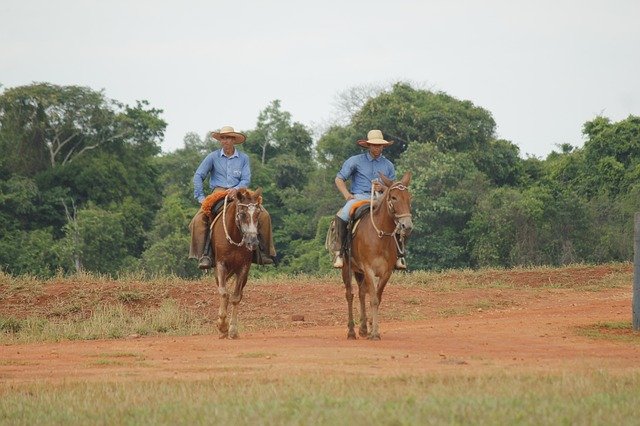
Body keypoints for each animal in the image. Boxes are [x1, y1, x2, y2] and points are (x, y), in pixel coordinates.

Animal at [209, 189, 262, 340]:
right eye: (243, 214)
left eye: (258, 214)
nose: (253, 242)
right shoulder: (221, 264)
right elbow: (224, 293)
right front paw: (222, 326)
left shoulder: (244, 267)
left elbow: (236, 297)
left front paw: (232, 329)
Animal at [342, 171, 412, 342]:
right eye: (393, 197)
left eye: (409, 197)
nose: (407, 225)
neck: (380, 237)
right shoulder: (369, 269)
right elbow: (373, 298)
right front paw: (374, 333)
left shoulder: (386, 272)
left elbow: (377, 298)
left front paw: (373, 330)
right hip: (347, 267)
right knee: (349, 294)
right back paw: (351, 331)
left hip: (359, 271)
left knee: (361, 293)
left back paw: (363, 329)